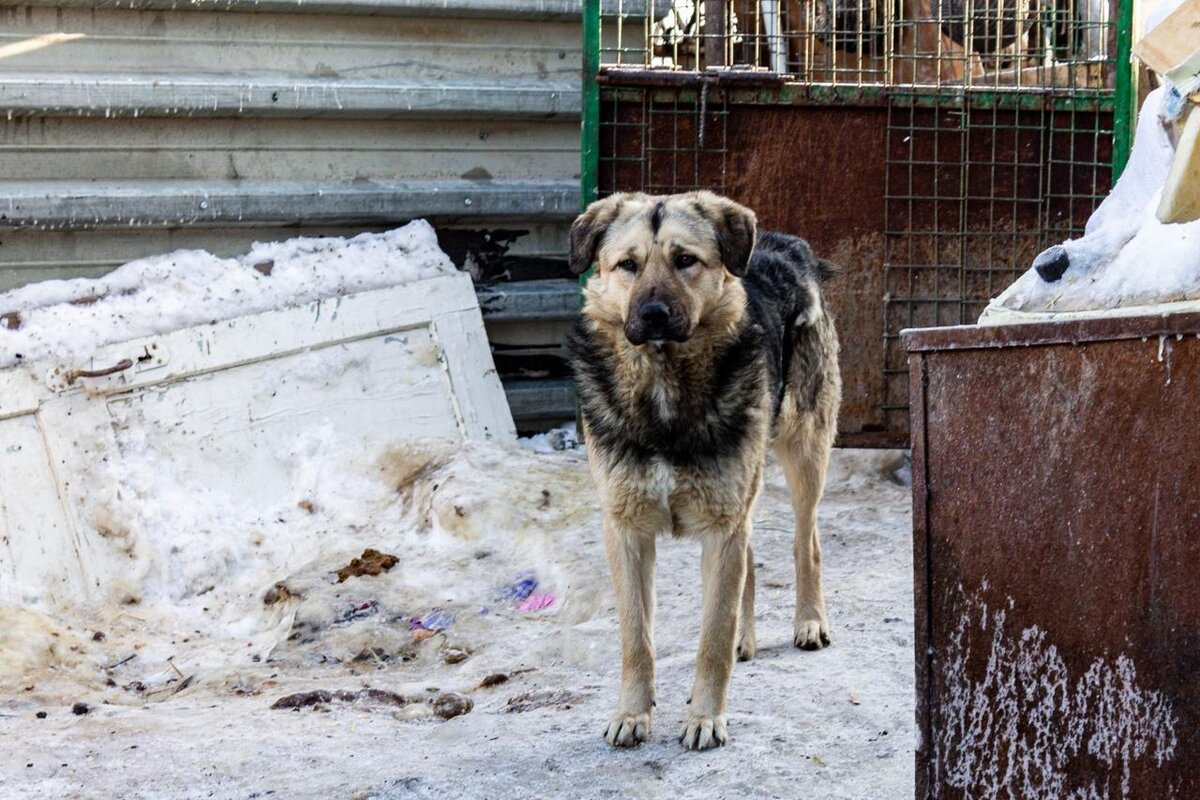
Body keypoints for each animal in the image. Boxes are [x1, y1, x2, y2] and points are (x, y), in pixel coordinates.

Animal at [564, 189, 840, 753]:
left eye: (685, 260)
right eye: (627, 265)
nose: (652, 314)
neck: (663, 389)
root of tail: (787, 243)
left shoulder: (722, 528)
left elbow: (711, 634)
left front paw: (706, 718)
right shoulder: (626, 529)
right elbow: (636, 636)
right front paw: (631, 713)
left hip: (805, 452)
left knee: (807, 542)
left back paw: (809, 621)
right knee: (751, 561)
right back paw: (747, 637)